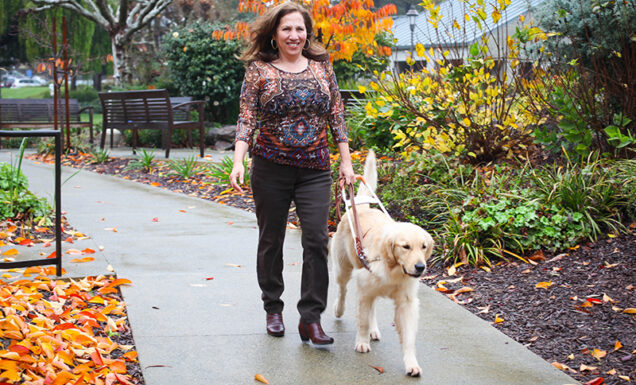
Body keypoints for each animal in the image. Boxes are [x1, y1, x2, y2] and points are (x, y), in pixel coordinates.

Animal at [330, 150, 434, 376]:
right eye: (405, 246)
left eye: (423, 246)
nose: (420, 267)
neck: (393, 268)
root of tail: (361, 207)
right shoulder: (364, 288)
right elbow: (361, 320)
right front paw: (361, 342)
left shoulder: (406, 301)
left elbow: (408, 336)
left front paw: (411, 363)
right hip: (343, 268)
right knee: (342, 290)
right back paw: (339, 309)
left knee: (372, 307)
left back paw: (374, 329)